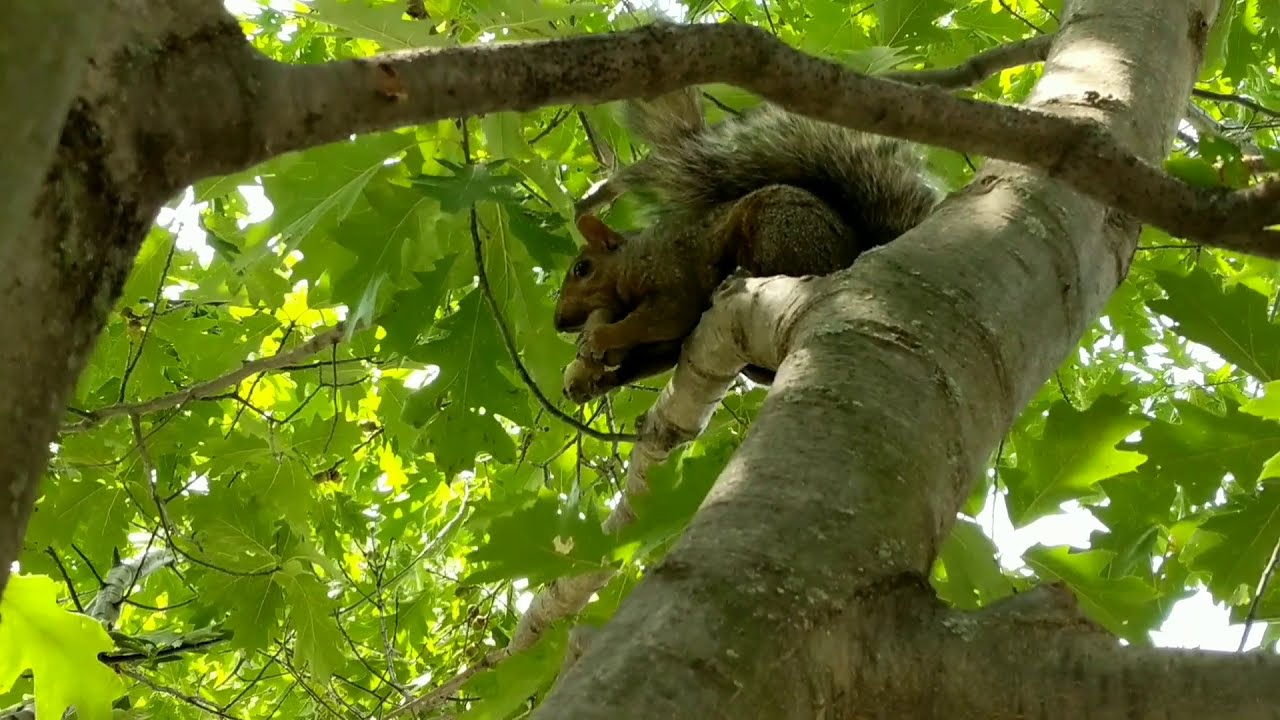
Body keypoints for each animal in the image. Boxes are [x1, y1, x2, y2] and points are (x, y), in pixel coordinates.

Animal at [553, 86, 942, 403]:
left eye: (582, 269)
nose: (559, 323)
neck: (631, 263)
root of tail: (856, 251)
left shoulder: (671, 279)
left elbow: (660, 319)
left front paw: (601, 336)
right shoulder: (665, 343)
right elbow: (651, 357)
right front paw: (597, 377)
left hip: (779, 229)